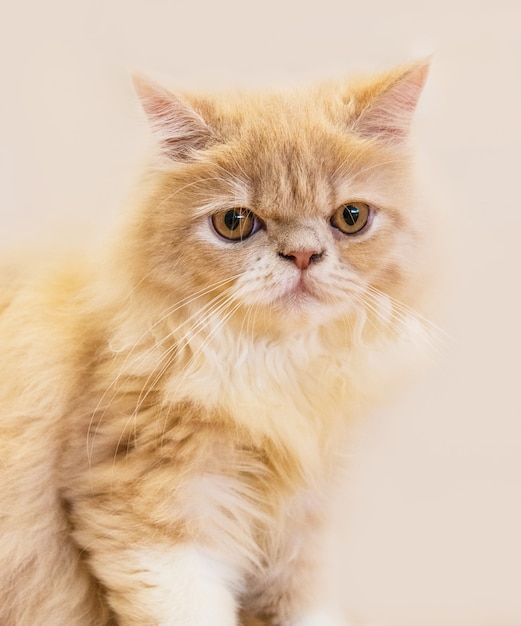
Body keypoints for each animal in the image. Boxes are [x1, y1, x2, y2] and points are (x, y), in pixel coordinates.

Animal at [1, 59, 434, 624]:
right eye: (234, 222)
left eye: (351, 217)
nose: (302, 256)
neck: (274, 369)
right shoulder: (143, 509)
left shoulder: (301, 532)